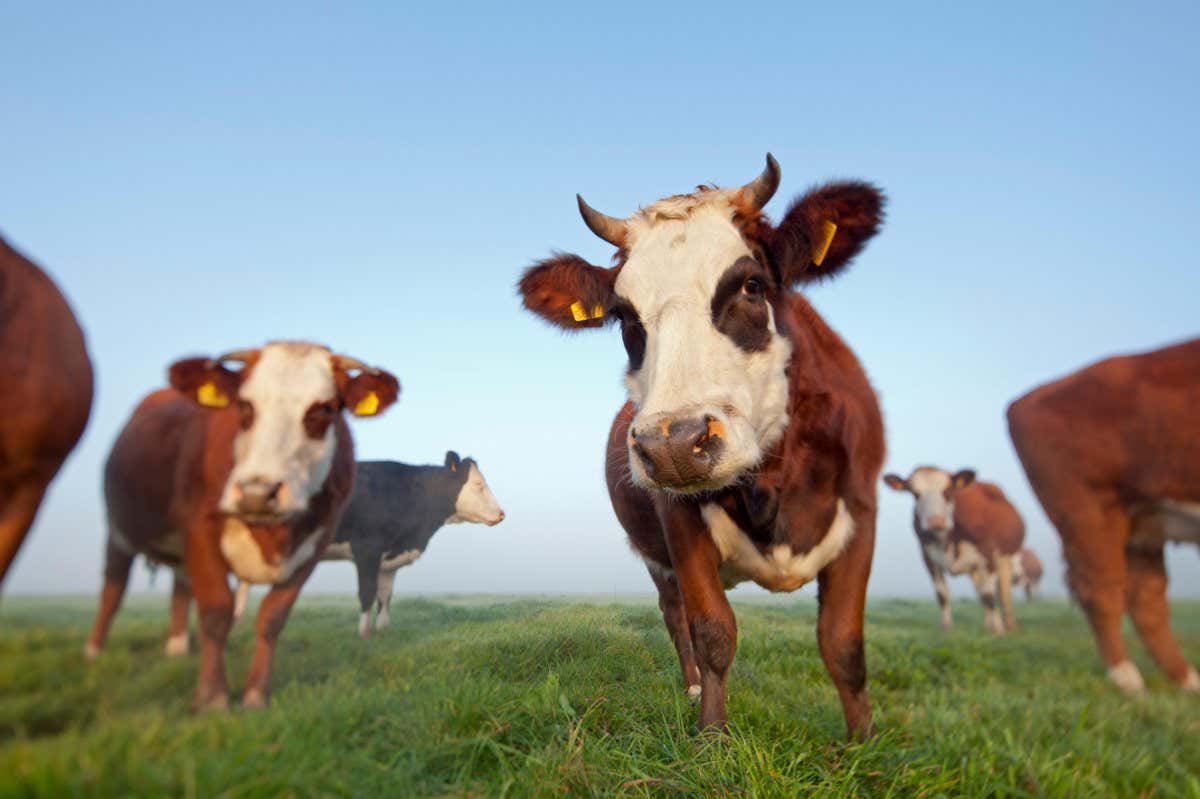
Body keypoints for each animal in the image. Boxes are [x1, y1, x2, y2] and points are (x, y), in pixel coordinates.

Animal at [83, 341, 400, 710]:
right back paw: (93, 652)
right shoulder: (201, 530)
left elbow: (273, 617)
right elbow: (216, 612)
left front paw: (256, 693)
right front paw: (212, 697)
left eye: (325, 408)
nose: (257, 493)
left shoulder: (316, 544)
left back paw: (177, 648)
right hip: (118, 529)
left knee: (179, 588)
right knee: (113, 590)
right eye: (244, 405)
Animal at [233, 452, 505, 636]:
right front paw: (364, 632)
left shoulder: (389, 559)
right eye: (479, 485)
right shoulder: (366, 550)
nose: (502, 514)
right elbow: (367, 592)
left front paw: (384, 629)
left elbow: (385, 595)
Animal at [517, 154, 886, 737]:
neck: (772, 480)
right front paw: (711, 735)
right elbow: (712, 630)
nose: (673, 443)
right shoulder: (677, 517)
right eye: (623, 316)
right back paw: (690, 686)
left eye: (752, 285)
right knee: (677, 617)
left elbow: (843, 643)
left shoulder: (863, 511)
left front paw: (863, 741)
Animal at [883, 468, 1024, 634]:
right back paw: (987, 623)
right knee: (981, 591)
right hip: (974, 568)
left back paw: (1009, 624)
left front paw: (997, 630)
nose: (935, 521)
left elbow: (989, 595)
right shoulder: (928, 557)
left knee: (1003, 592)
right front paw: (946, 627)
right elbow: (942, 595)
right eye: (915, 493)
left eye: (948, 491)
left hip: (1005, 559)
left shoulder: (988, 554)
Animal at [1008, 338, 1200, 694]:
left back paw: (1186, 679)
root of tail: (1026, 400)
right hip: (1089, 507)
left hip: (1143, 519)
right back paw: (1127, 678)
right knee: (1100, 588)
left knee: (1146, 595)